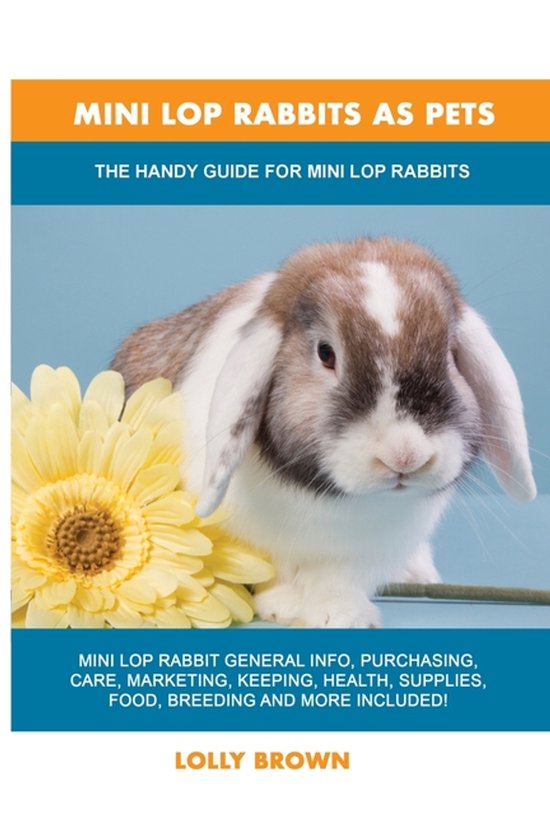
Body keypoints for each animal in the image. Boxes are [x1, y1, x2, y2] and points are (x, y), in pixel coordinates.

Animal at [111, 237, 536, 627]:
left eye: (449, 355)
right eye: (325, 354)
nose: (405, 456)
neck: (334, 502)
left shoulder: (367, 553)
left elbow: (338, 580)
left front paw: (341, 615)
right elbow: (277, 569)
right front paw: (282, 607)